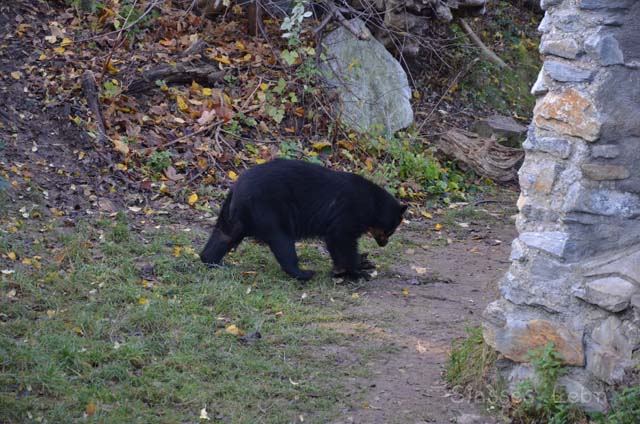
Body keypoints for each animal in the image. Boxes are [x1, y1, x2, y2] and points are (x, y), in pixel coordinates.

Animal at [201, 157, 404, 280]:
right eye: (391, 230)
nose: (384, 244)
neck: (373, 204)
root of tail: (237, 187)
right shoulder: (350, 211)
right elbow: (341, 238)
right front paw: (356, 271)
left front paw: (362, 263)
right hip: (268, 210)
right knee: (282, 241)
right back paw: (304, 273)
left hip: (237, 214)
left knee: (224, 234)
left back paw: (212, 262)